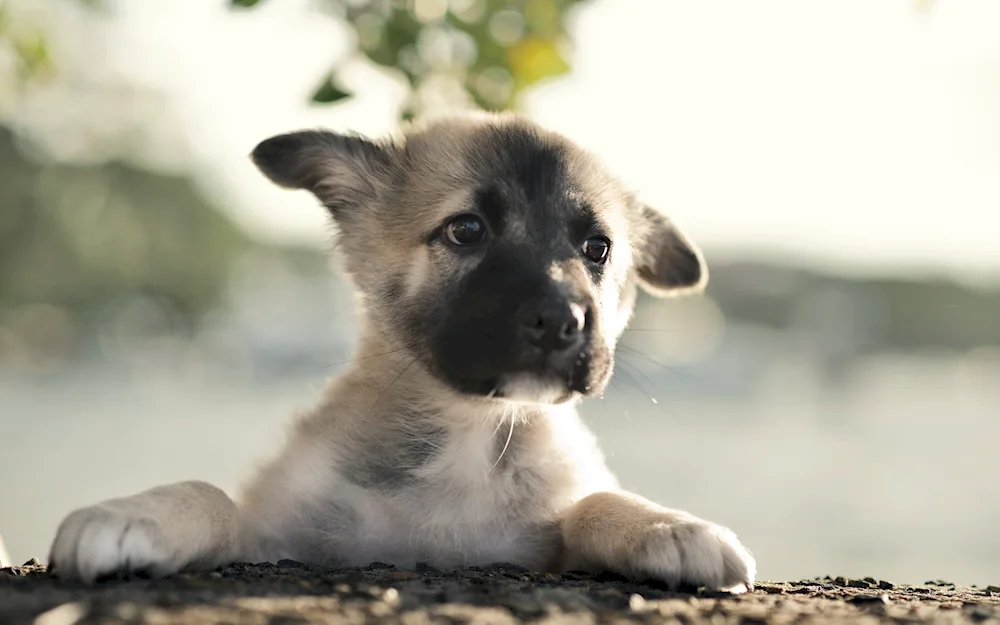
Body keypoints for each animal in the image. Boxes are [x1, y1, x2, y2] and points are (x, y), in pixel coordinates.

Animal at [45, 111, 752, 588]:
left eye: (597, 248)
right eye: (466, 230)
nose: (561, 320)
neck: (470, 437)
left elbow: (593, 503)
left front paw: (668, 526)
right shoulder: (276, 535)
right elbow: (211, 495)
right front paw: (132, 514)